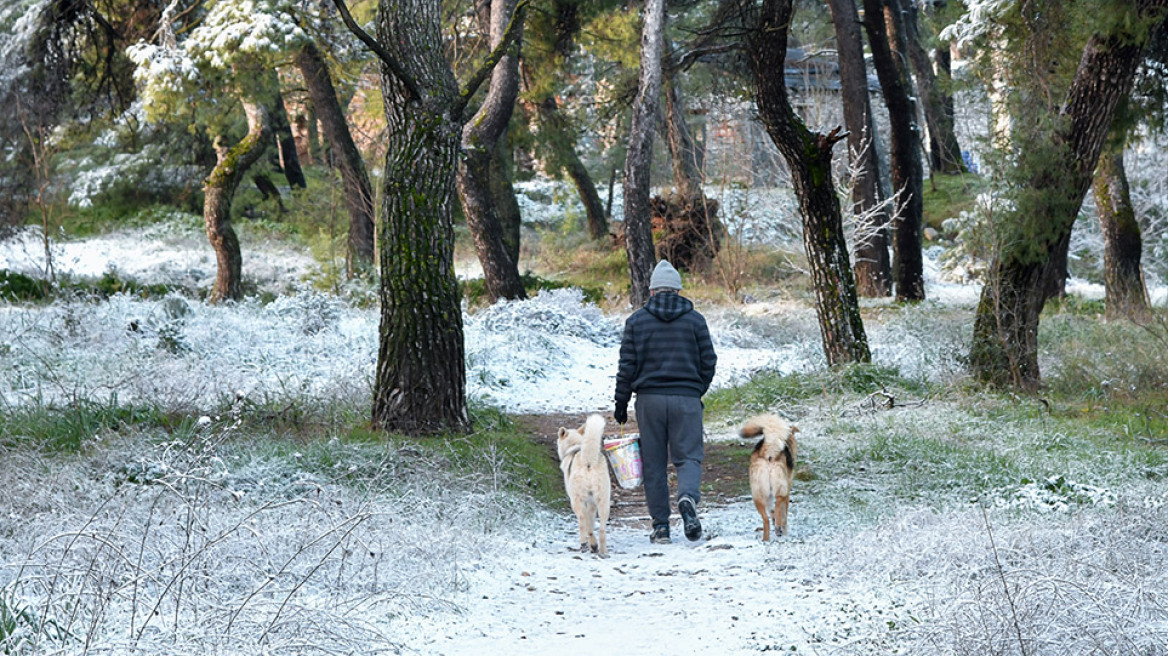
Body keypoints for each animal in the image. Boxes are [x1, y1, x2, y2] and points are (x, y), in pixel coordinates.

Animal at [555, 410, 612, 553]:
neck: (574, 447)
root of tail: (588, 462)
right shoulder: (591, 504)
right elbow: (591, 521)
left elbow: (585, 524)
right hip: (603, 502)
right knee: (601, 529)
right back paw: (602, 550)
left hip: (576, 501)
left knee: (584, 523)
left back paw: (588, 544)